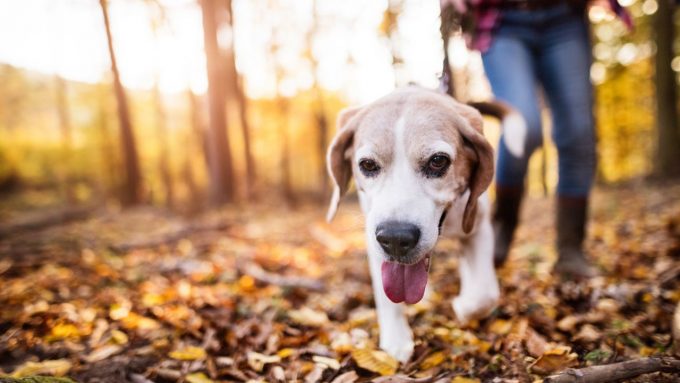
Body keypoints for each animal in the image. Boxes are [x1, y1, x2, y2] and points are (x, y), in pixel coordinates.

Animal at [326, 87, 516, 364]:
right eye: (368, 165)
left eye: (438, 161)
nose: (395, 238)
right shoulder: (374, 241)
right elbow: (386, 296)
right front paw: (396, 339)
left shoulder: (478, 226)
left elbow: (484, 294)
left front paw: (463, 305)